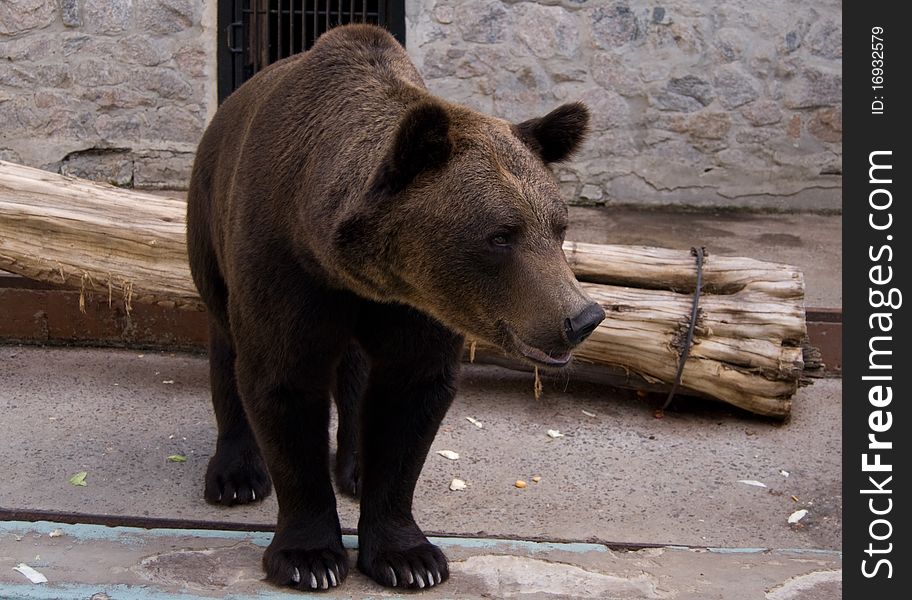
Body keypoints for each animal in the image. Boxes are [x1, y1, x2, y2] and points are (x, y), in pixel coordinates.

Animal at [188, 22, 604, 592]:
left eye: (559, 227)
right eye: (502, 235)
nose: (582, 318)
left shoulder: (418, 308)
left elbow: (410, 396)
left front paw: (409, 557)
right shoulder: (282, 263)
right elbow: (282, 380)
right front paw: (309, 558)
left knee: (356, 365)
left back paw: (355, 468)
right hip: (210, 220)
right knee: (226, 339)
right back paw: (236, 472)